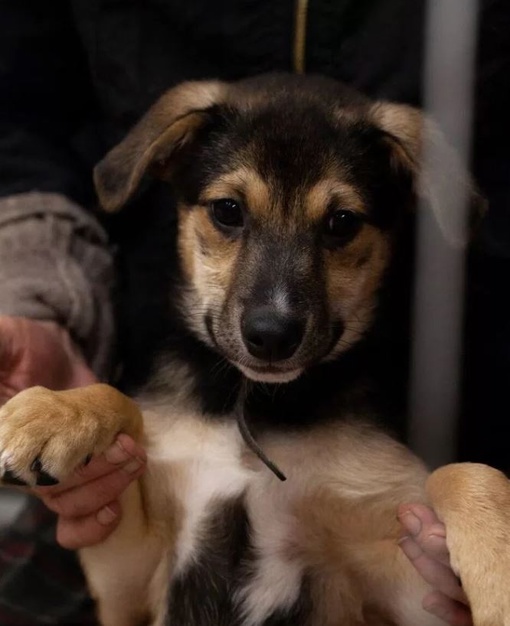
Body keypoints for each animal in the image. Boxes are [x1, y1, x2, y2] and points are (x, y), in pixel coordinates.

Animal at [0, 74, 510, 624]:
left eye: (342, 222)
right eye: (228, 210)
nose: (271, 335)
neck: (255, 408)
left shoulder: (408, 589)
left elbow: (461, 472)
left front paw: (498, 570)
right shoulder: (128, 578)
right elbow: (121, 402)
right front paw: (50, 416)